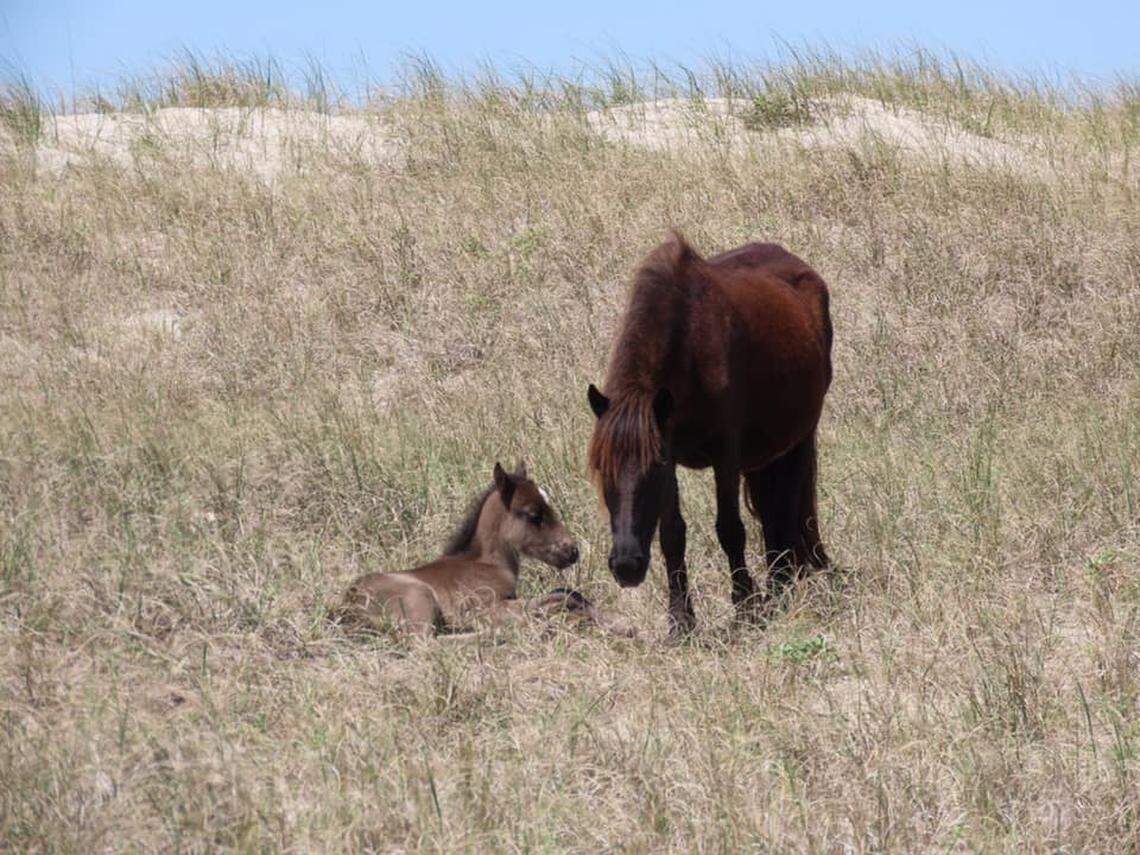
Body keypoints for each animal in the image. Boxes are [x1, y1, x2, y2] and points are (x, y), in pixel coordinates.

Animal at [335, 462, 634, 638]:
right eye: (534, 515)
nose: (572, 551)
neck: (486, 563)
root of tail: (348, 605)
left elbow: (567, 593)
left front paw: (621, 624)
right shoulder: (490, 603)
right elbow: (559, 598)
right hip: (418, 598)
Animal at [586, 232, 833, 634]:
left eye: (651, 470)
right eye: (600, 471)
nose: (626, 566)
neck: (691, 354)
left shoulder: (723, 456)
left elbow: (730, 528)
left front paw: (746, 605)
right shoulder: (671, 451)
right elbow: (672, 535)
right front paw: (680, 620)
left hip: (798, 439)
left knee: (789, 504)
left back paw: (783, 583)